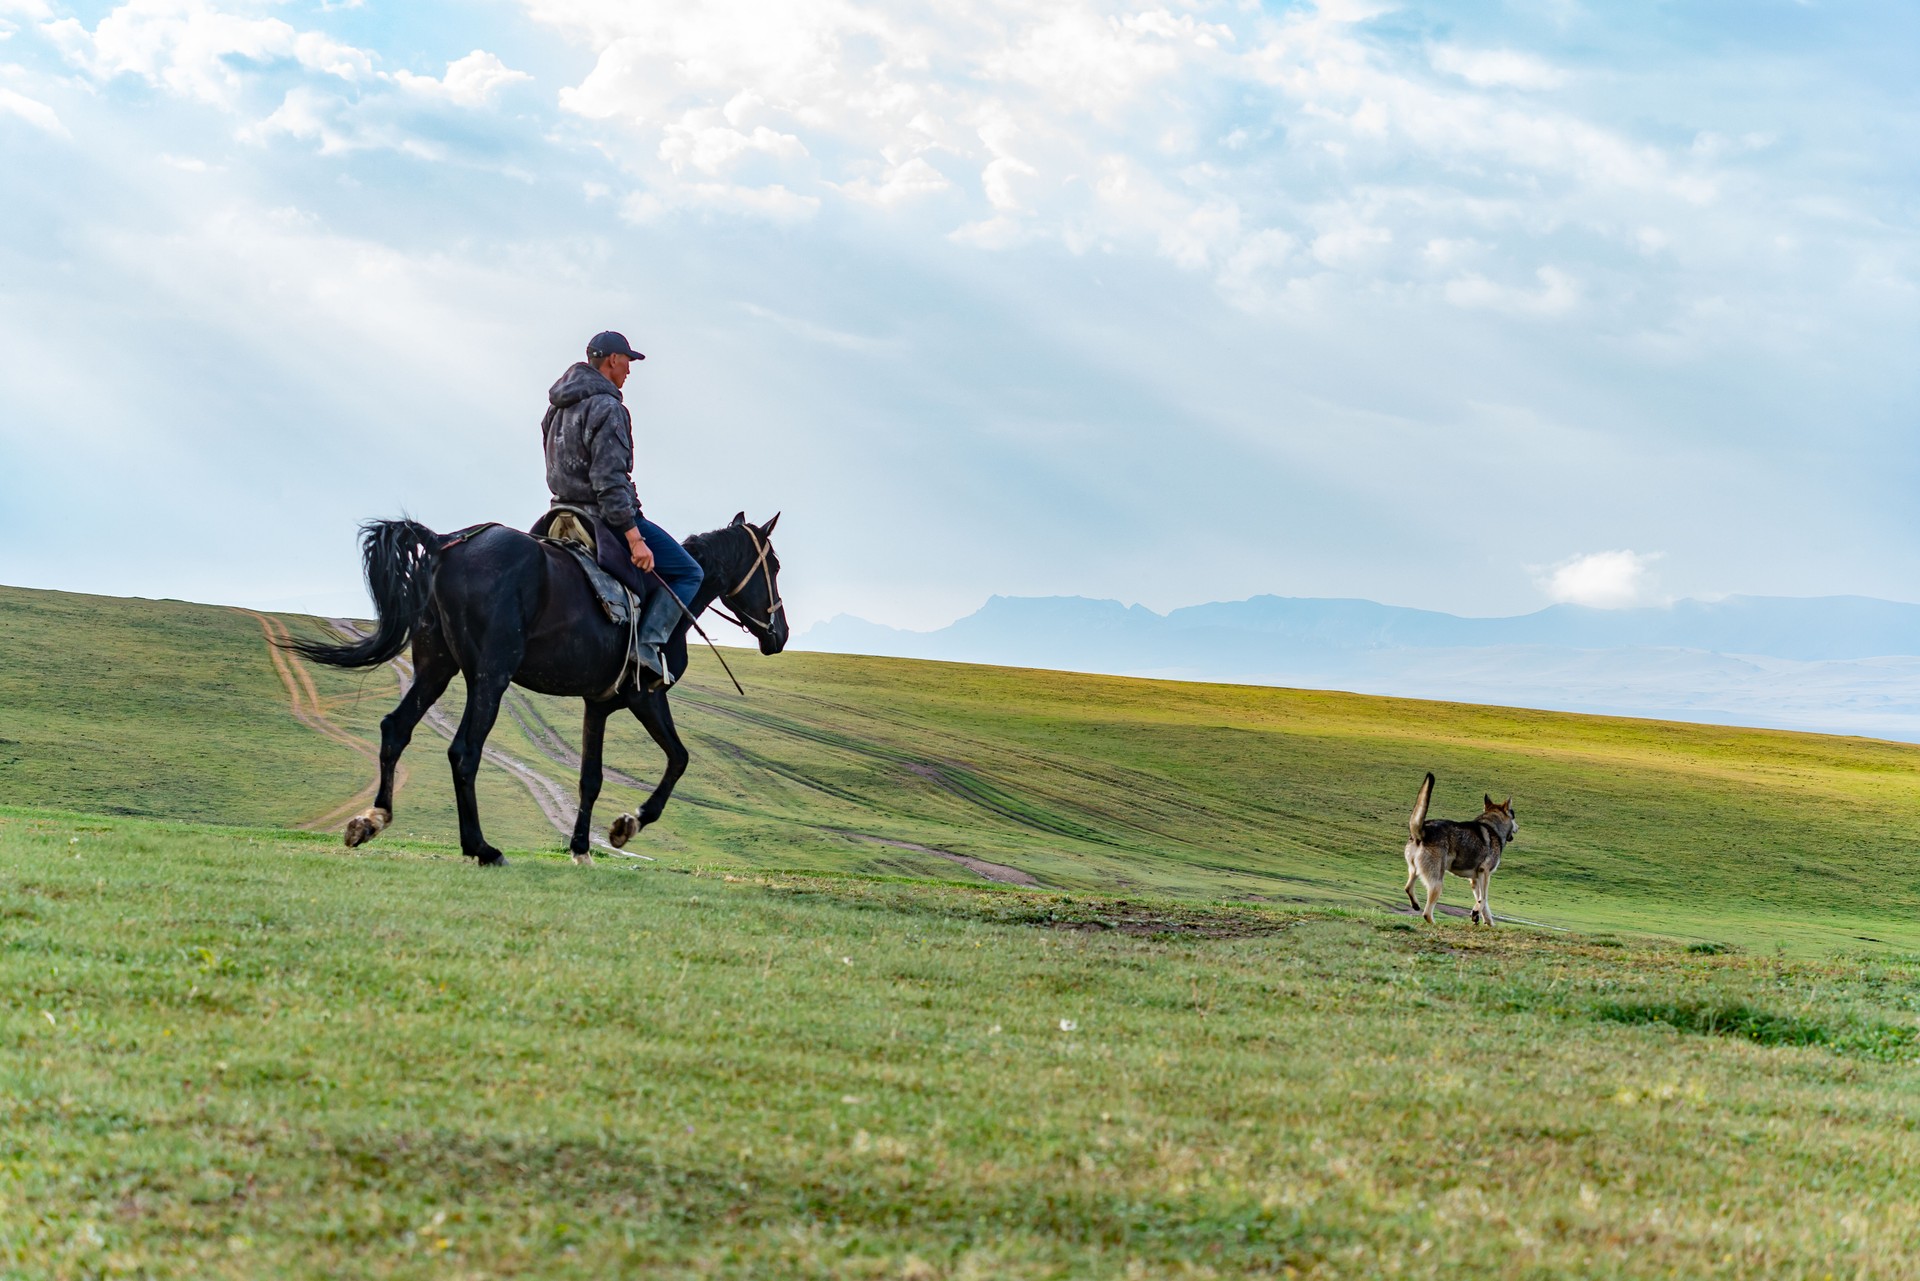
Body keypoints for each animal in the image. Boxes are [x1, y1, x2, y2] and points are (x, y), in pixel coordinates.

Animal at [282, 510, 787, 860]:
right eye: (776, 566)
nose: (779, 635)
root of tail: (445, 544)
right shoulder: (645, 697)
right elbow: (679, 758)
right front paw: (629, 824)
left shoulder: (597, 705)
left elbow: (590, 778)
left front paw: (581, 848)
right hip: (491, 677)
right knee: (463, 751)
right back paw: (480, 848)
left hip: (435, 669)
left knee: (395, 729)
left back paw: (371, 821)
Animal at [1405, 772, 1520, 921]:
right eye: (1514, 816)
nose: (1518, 827)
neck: (1493, 826)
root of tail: (1423, 831)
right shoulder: (1485, 872)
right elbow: (1484, 898)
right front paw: (1476, 912)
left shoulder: (1475, 880)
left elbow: (1484, 904)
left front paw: (1485, 920)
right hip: (1437, 882)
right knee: (1427, 913)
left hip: (1414, 870)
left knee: (1408, 888)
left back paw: (1415, 904)